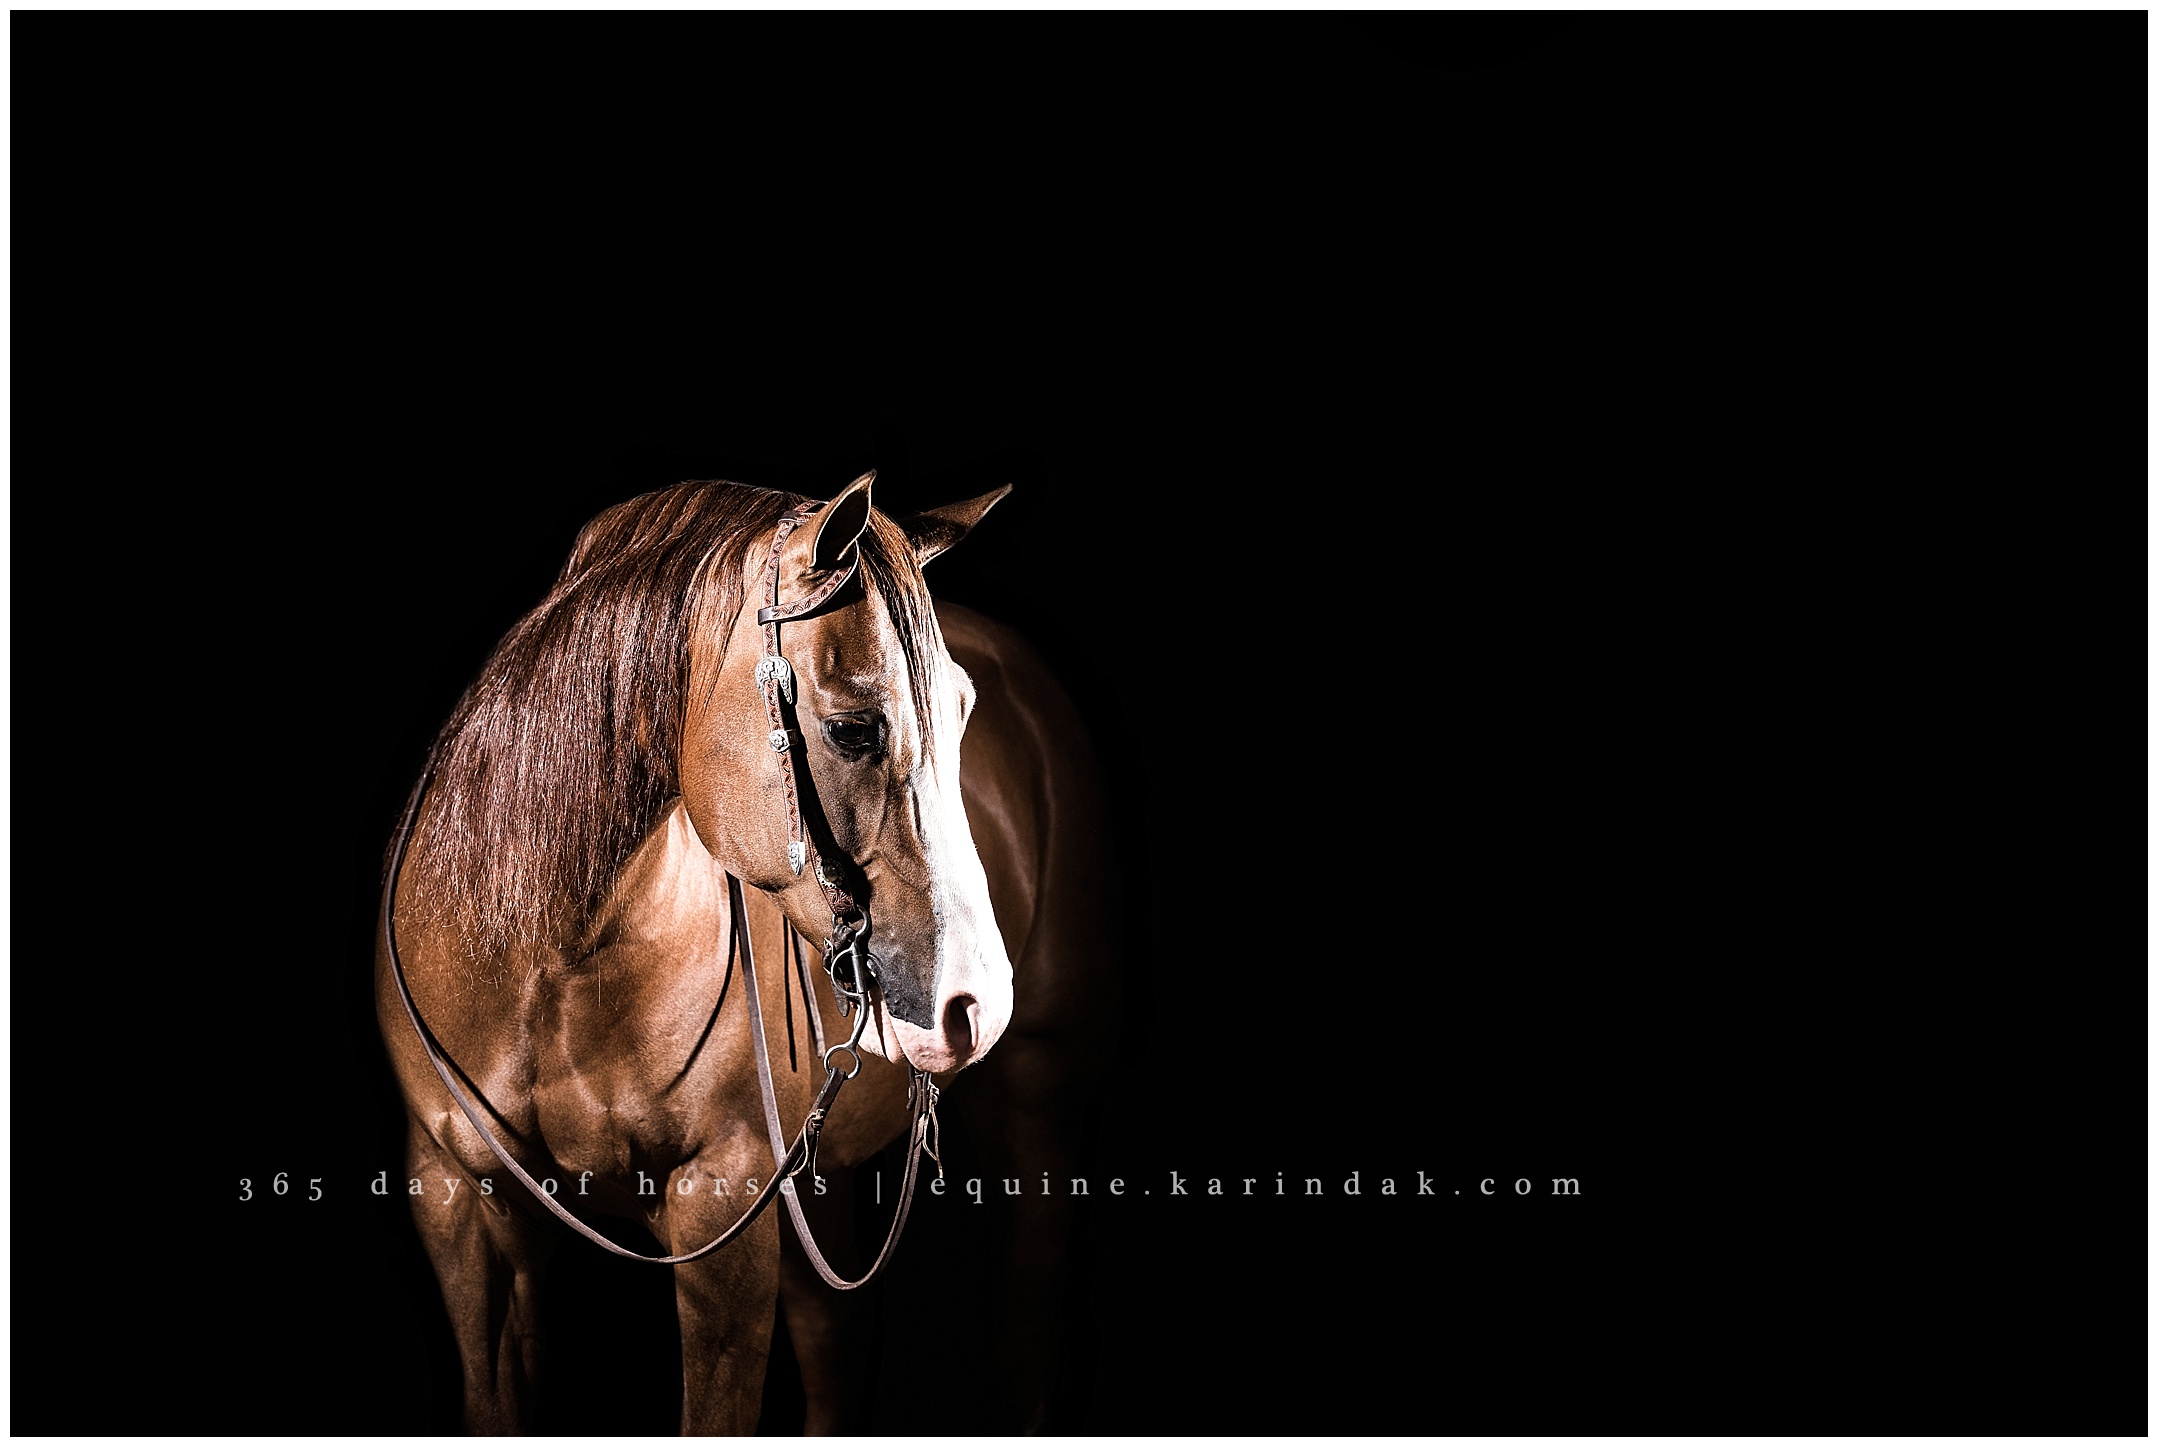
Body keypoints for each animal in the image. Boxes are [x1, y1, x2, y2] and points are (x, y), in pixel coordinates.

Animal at [374, 473, 1115, 1434]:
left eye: (963, 708)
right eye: (852, 730)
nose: (974, 1001)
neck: (548, 966)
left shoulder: (721, 1211)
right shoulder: (462, 1205)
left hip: (1039, 1104)